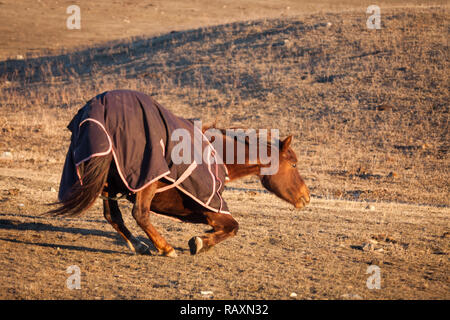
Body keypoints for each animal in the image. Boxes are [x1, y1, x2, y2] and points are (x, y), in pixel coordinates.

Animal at [49, 125, 310, 258]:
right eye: (294, 165)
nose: (306, 197)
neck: (217, 155)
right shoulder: (210, 208)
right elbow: (233, 227)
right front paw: (201, 242)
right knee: (139, 214)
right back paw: (165, 248)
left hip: (107, 186)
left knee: (114, 216)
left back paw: (141, 245)